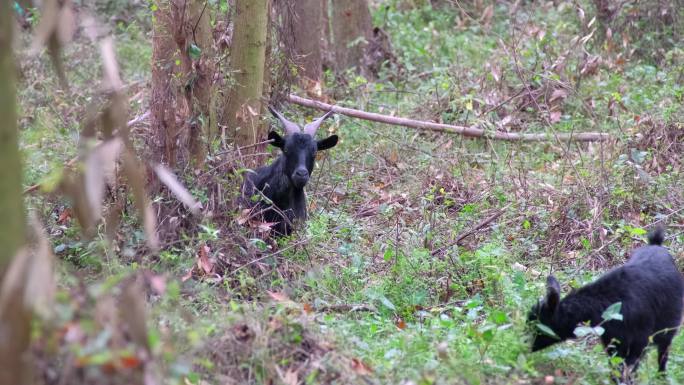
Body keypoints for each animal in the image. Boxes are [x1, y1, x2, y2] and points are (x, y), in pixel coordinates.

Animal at [528, 228, 684, 376]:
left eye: (539, 324)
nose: (524, 345)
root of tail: (656, 244)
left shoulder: (639, 341)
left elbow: (629, 368)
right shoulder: (612, 340)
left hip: (668, 329)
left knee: (663, 354)